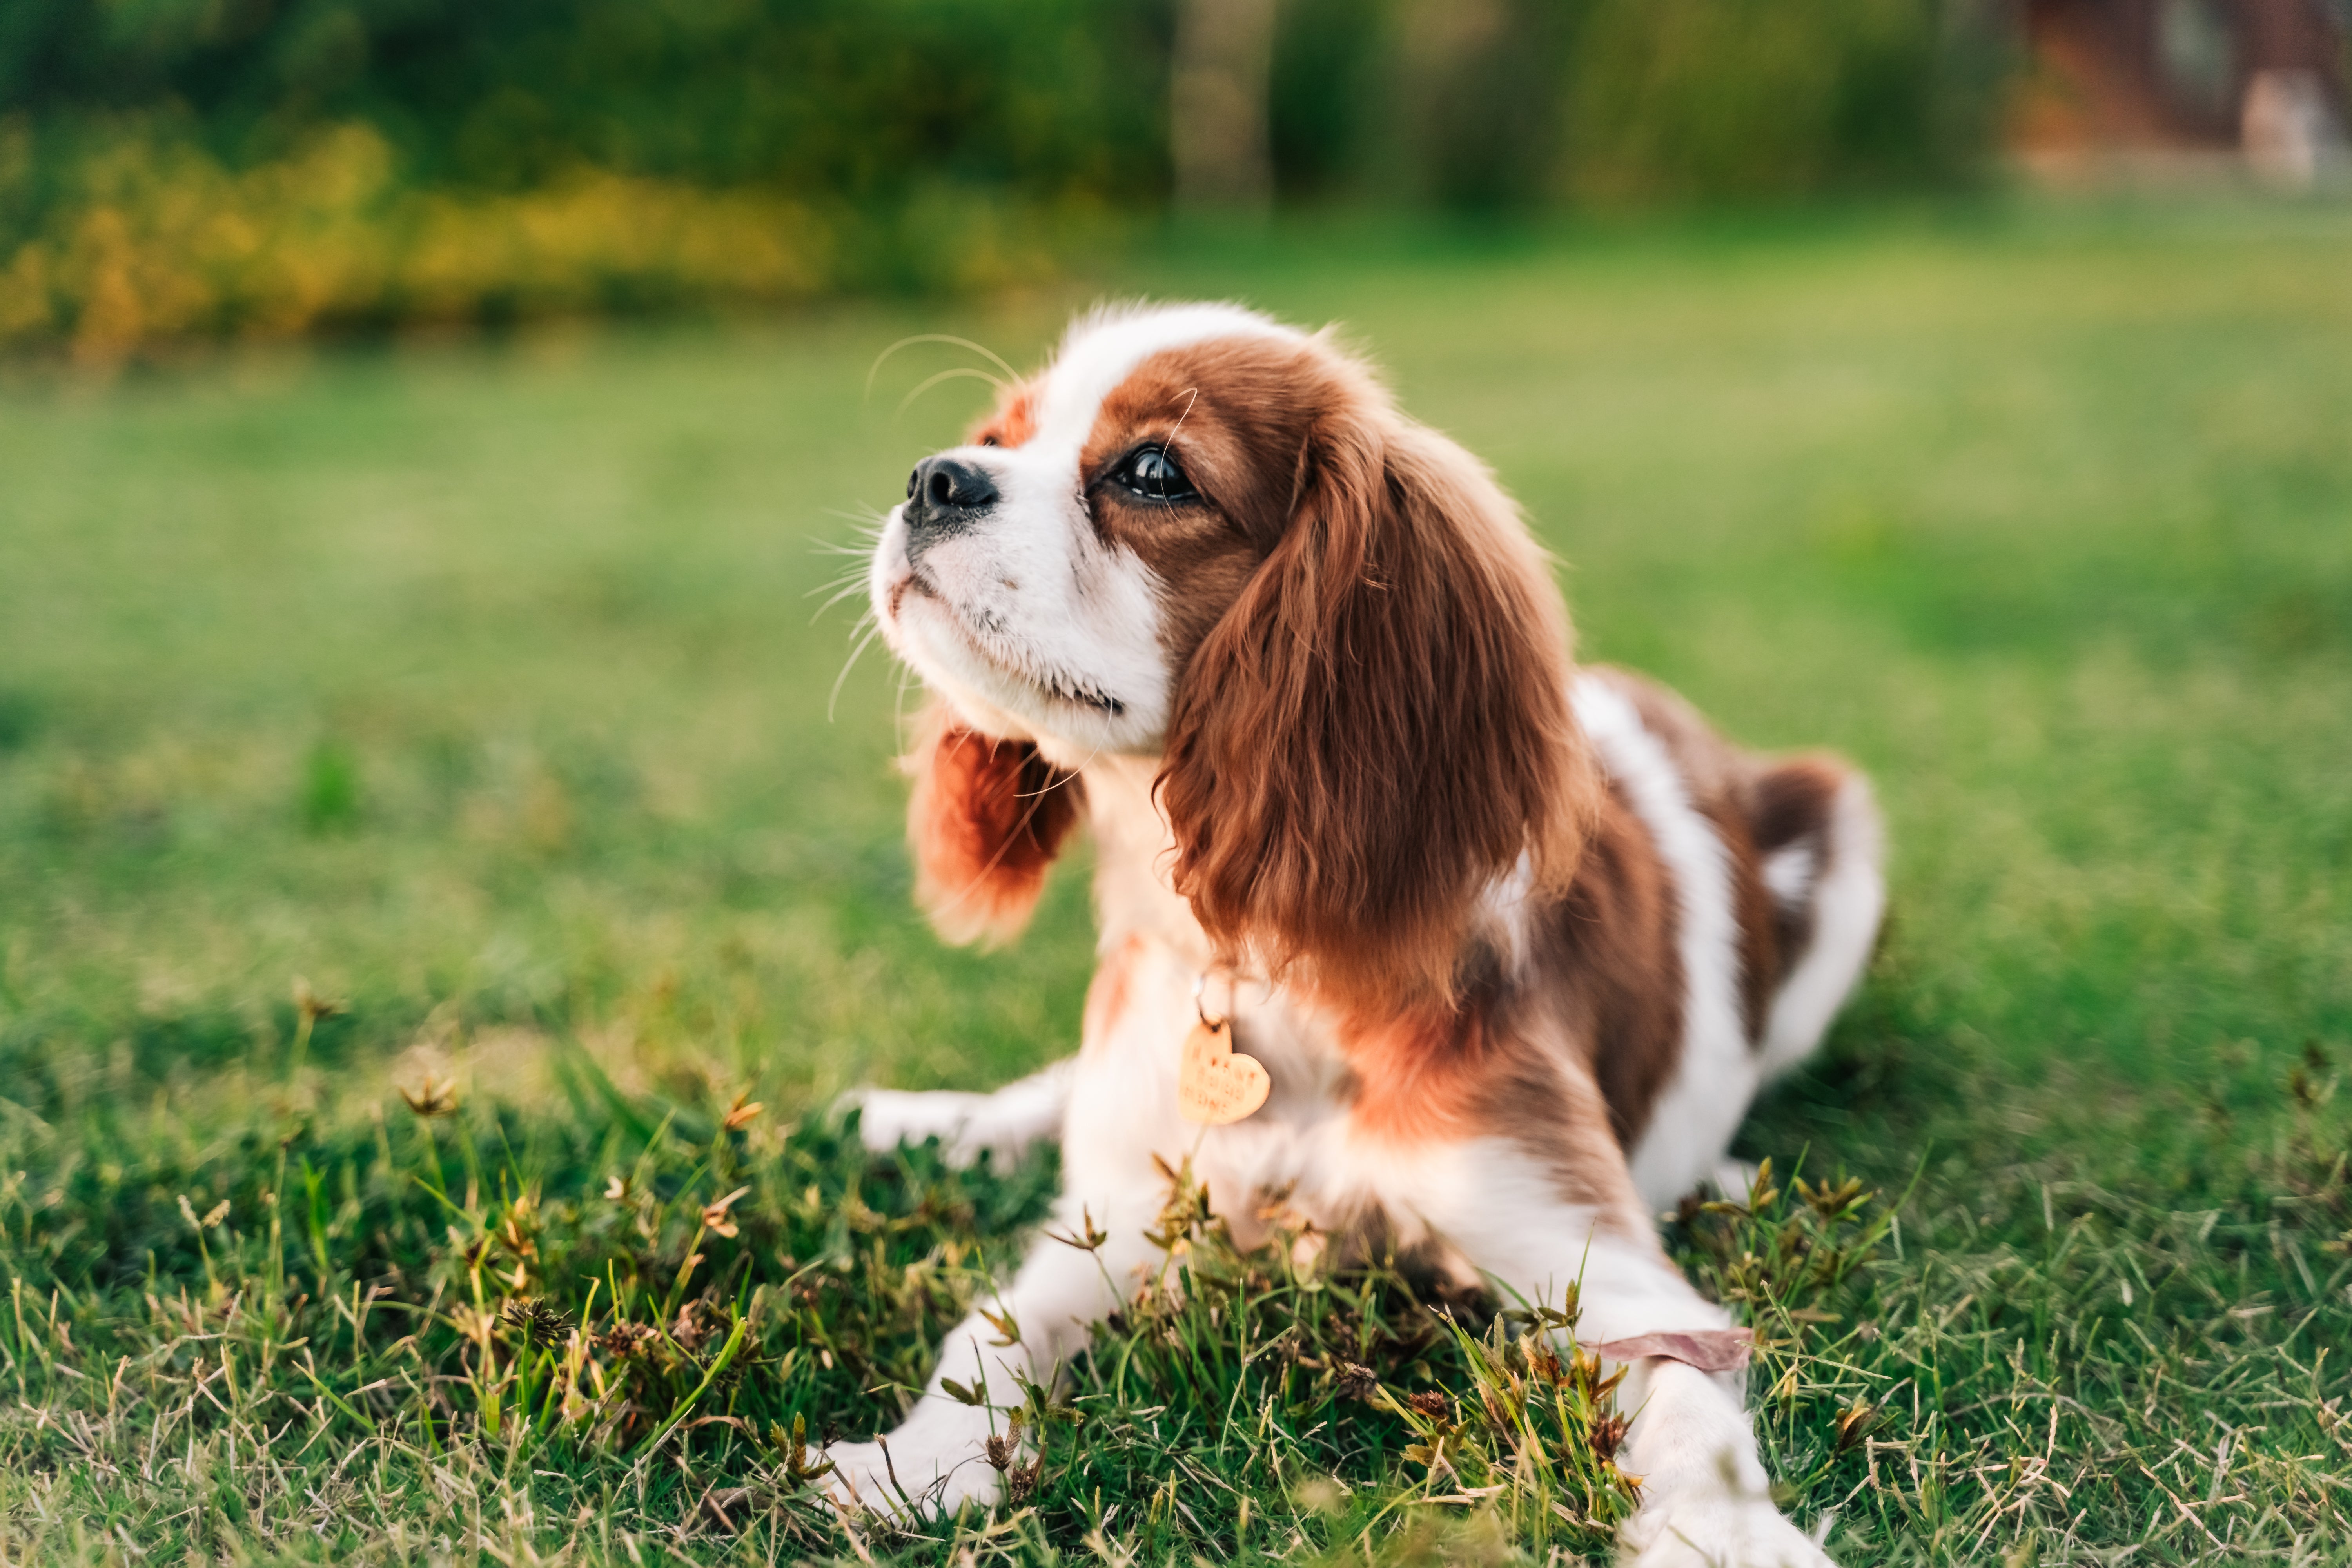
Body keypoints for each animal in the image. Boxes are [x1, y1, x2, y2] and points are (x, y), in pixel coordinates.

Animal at [837, 301, 1882, 1561]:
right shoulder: (1127, 1218)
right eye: (1000, 436)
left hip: (1844, 839)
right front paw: (915, 1460)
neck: (1260, 962)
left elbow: (1686, 1395)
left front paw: (1728, 1532)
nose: (937, 477)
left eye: (1154, 473)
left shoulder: (1588, 1255)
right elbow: (995, 1325)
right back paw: (935, 1122)